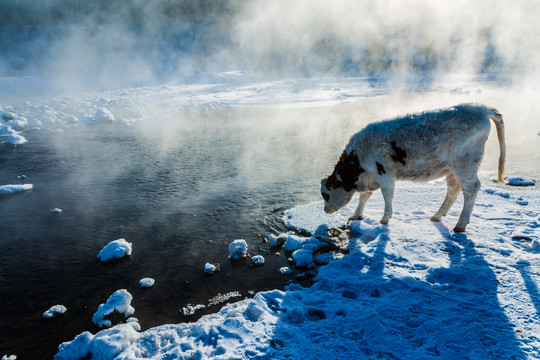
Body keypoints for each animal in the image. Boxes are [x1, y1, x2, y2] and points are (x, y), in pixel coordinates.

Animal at [320, 103, 506, 233]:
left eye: (325, 194)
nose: (325, 210)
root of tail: (479, 108)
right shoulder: (370, 177)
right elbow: (364, 197)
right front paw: (356, 215)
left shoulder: (385, 173)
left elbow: (387, 196)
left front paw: (385, 219)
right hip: (452, 169)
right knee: (454, 189)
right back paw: (437, 216)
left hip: (465, 165)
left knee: (471, 189)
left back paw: (460, 225)